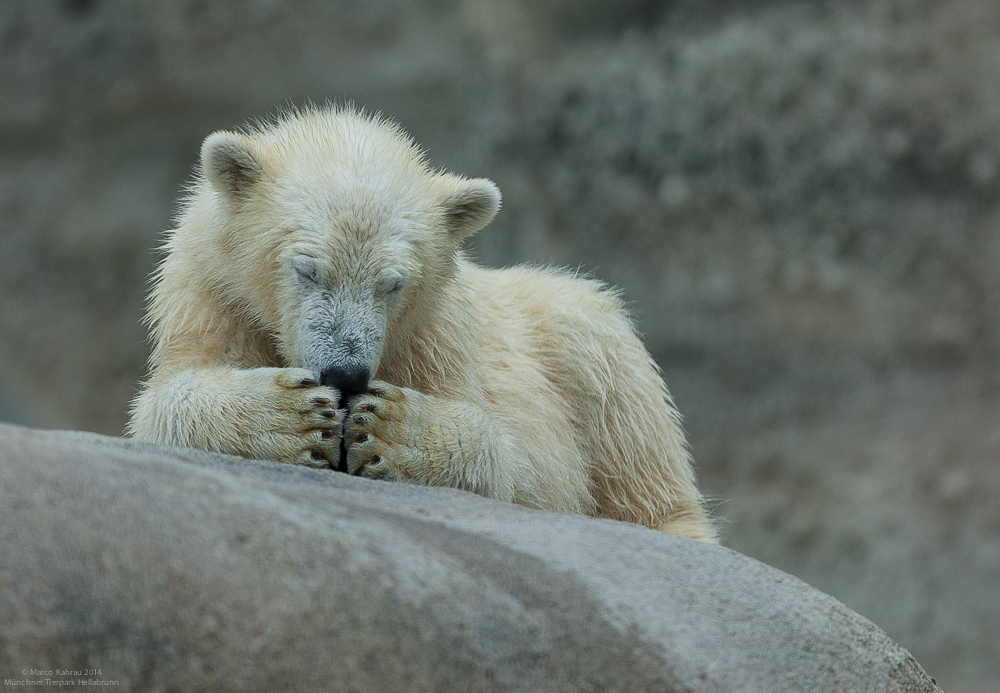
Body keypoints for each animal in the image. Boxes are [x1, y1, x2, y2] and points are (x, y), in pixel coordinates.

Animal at [127, 105, 720, 544]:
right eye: (307, 269)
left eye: (392, 284)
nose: (345, 374)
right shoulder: (208, 291)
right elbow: (171, 394)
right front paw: (293, 417)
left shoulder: (435, 333)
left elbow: (519, 458)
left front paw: (390, 429)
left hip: (581, 336)